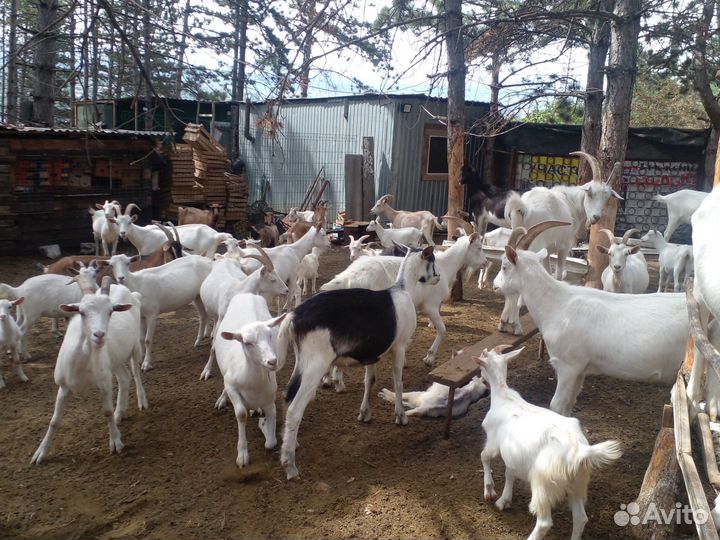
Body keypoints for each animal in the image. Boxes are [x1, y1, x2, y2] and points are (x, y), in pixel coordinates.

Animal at [31, 276, 147, 464]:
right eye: (81, 312)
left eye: (111, 311)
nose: (99, 335)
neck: (81, 365)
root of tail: (130, 293)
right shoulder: (63, 386)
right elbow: (54, 420)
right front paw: (40, 453)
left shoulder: (104, 382)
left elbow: (106, 411)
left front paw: (116, 442)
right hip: (114, 359)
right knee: (124, 377)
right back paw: (119, 414)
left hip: (135, 346)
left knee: (135, 373)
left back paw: (141, 401)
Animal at [214, 294, 286, 468]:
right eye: (247, 343)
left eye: (270, 336)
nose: (272, 361)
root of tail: (247, 294)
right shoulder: (232, 385)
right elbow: (241, 414)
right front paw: (242, 454)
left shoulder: (270, 395)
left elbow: (271, 442)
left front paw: (265, 427)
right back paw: (222, 399)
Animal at [275, 245, 439, 479]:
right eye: (432, 260)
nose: (437, 277)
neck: (403, 288)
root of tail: (293, 317)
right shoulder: (399, 346)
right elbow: (398, 381)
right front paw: (400, 416)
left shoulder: (372, 352)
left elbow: (369, 380)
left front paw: (365, 413)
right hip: (316, 363)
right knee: (295, 408)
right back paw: (289, 464)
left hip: (302, 360)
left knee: (287, 395)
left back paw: (291, 444)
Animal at [474, 345, 622, 540]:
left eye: (481, 366)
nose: (482, 379)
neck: (504, 396)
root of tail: (580, 452)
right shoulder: (513, 455)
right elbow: (509, 473)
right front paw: (504, 500)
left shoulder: (493, 442)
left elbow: (484, 457)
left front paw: (489, 490)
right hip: (578, 483)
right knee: (580, 518)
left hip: (543, 483)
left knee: (544, 522)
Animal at [493, 221, 689, 416]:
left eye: (504, 266)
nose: (495, 286)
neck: (558, 304)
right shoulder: (581, 370)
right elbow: (568, 405)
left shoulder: (568, 366)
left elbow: (557, 406)